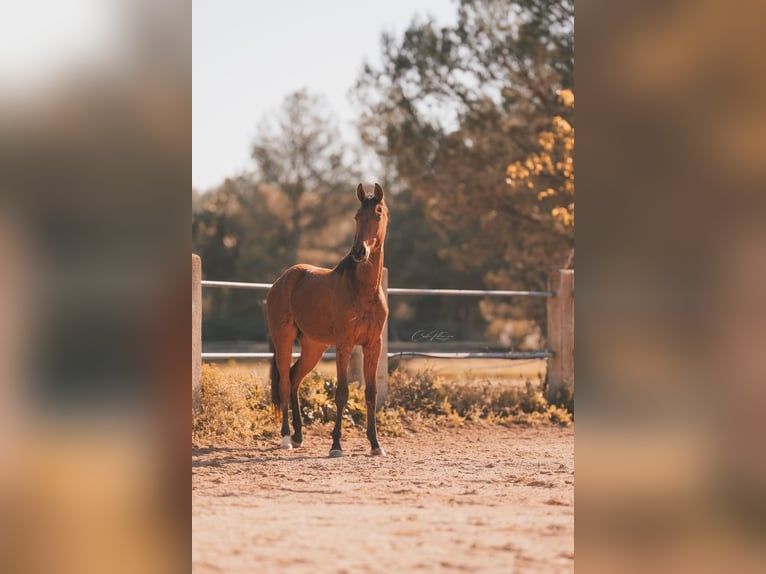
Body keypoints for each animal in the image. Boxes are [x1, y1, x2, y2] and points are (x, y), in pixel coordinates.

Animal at [266, 183, 389, 457]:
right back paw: (286, 438)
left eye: (377, 213)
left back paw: (299, 436)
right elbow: (342, 393)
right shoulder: (344, 345)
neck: (363, 290)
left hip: (314, 347)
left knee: (294, 378)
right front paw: (336, 445)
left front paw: (376, 444)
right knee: (284, 382)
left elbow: (371, 393)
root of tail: (282, 280)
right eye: (356, 216)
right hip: (284, 341)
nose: (359, 252)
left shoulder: (373, 345)